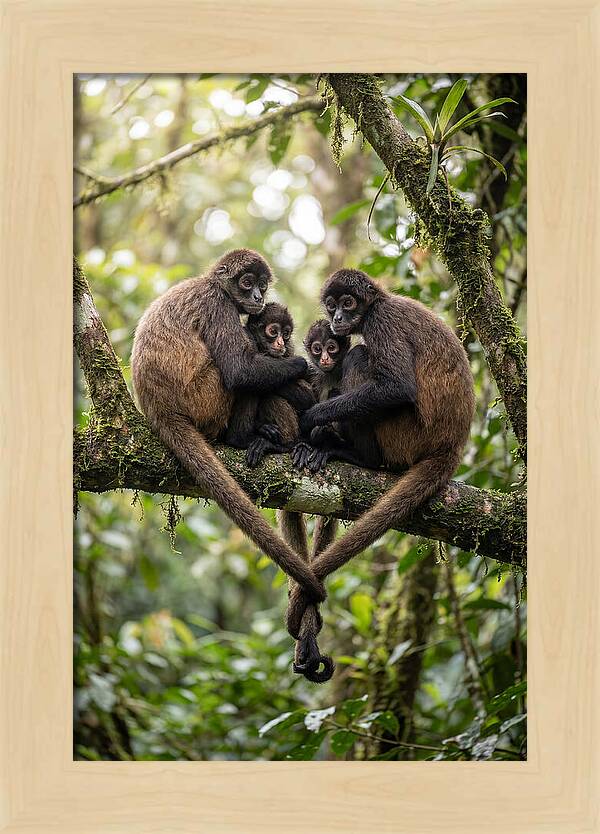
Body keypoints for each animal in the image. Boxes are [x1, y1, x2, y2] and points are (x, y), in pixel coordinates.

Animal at [130, 249, 326, 605]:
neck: (212, 284)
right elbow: (239, 370)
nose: (258, 297)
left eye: (262, 284)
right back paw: (242, 438)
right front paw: (301, 365)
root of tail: (159, 409)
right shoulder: (218, 305)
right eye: (247, 283)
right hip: (206, 399)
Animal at [286, 268, 475, 640]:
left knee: (360, 356)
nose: (338, 318)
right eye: (331, 305)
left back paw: (356, 456)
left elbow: (397, 387)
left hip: (405, 434)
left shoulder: (381, 321)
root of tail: (452, 445)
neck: (379, 302)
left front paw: (313, 420)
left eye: (348, 303)